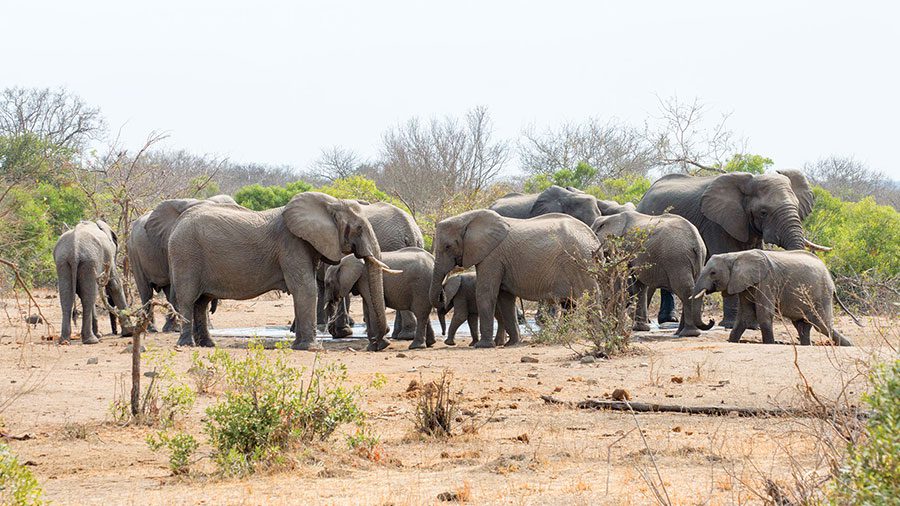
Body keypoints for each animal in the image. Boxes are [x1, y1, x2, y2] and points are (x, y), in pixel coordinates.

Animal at [130, 194, 237, 332]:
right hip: (134, 251)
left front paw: (208, 328)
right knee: (146, 291)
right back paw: (152, 329)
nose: (213, 310)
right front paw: (174, 329)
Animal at [166, 192, 393, 351]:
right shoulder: (291, 243)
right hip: (185, 254)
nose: (382, 343)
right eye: (359, 228)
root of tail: (177, 223)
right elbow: (306, 287)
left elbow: (303, 288)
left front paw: (299, 346)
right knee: (188, 299)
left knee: (201, 302)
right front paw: (311, 348)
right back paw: (187, 345)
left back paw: (207, 344)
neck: (330, 203)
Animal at [430, 210, 600, 348]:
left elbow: (485, 293)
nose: (442, 296)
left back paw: (595, 336)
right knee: (569, 304)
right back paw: (563, 336)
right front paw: (512, 343)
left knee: (590, 297)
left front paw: (483, 346)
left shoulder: (492, 256)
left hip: (581, 262)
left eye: (447, 246)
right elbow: (505, 299)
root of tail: (594, 238)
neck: (468, 218)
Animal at [636, 170, 828, 327]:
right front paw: (729, 324)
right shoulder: (717, 223)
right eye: (763, 212)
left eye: (797, 207)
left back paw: (669, 320)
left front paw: (753, 325)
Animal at [691, 250, 855, 346]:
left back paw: (850, 345)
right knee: (803, 325)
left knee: (821, 325)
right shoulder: (744, 284)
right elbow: (745, 315)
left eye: (713, 273)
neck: (736, 256)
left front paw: (769, 343)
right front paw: (732, 341)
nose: (711, 319)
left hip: (821, 294)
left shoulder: (767, 281)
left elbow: (763, 313)